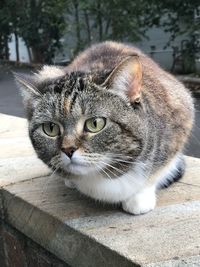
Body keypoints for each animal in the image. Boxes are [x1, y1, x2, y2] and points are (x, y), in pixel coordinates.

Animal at [15, 40, 194, 215]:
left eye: (95, 124)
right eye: (50, 128)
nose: (68, 149)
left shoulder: (181, 113)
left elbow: (155, 173)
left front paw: (139, 198)